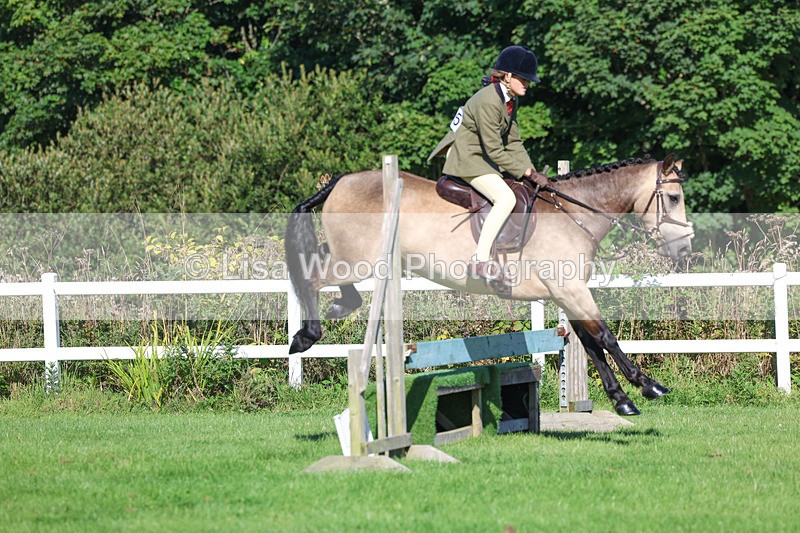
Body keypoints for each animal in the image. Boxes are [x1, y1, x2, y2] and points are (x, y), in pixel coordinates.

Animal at [285, 155, 694, 415]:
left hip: (357, 257)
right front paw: (648, 385)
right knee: (314, 275)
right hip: (359, 259)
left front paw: (622, 399)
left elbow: (591, 343)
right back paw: (306, 335)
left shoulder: (568, 294)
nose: (684, 250)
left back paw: (339, 307)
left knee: (322, 266)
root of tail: (341, 180)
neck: (573, 213)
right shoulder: (571, 291)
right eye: (673, 198)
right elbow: (605, 337)